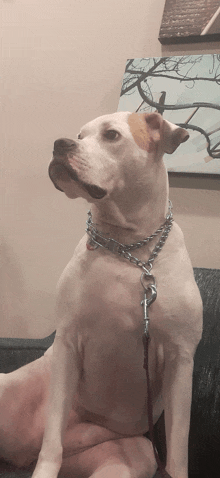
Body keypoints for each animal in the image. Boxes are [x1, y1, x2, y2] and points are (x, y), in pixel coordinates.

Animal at [0, 113, 203, 478]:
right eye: (80, 135)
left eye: (111, 135)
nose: (60, 143)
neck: (128, 248)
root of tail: (21, 454)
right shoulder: (67, 344)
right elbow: (52, 440)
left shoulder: (181, 361)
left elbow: (178, 450)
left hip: (130, 456)